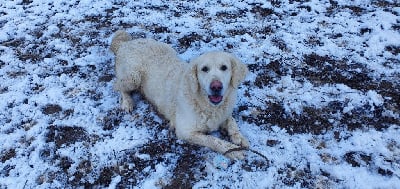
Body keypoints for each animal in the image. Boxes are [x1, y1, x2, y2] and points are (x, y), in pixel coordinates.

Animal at [108, 30, 248, 159]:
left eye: (224, 67)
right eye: (204, 69)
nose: (216, 86)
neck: (207, 105)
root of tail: (125, 44)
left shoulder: (224, 113)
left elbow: (232, 121)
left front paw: (239, 137)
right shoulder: (185, 131)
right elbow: (213, 140)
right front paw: (233, 150)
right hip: (133, 77)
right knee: (117, 85)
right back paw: (127, 102)